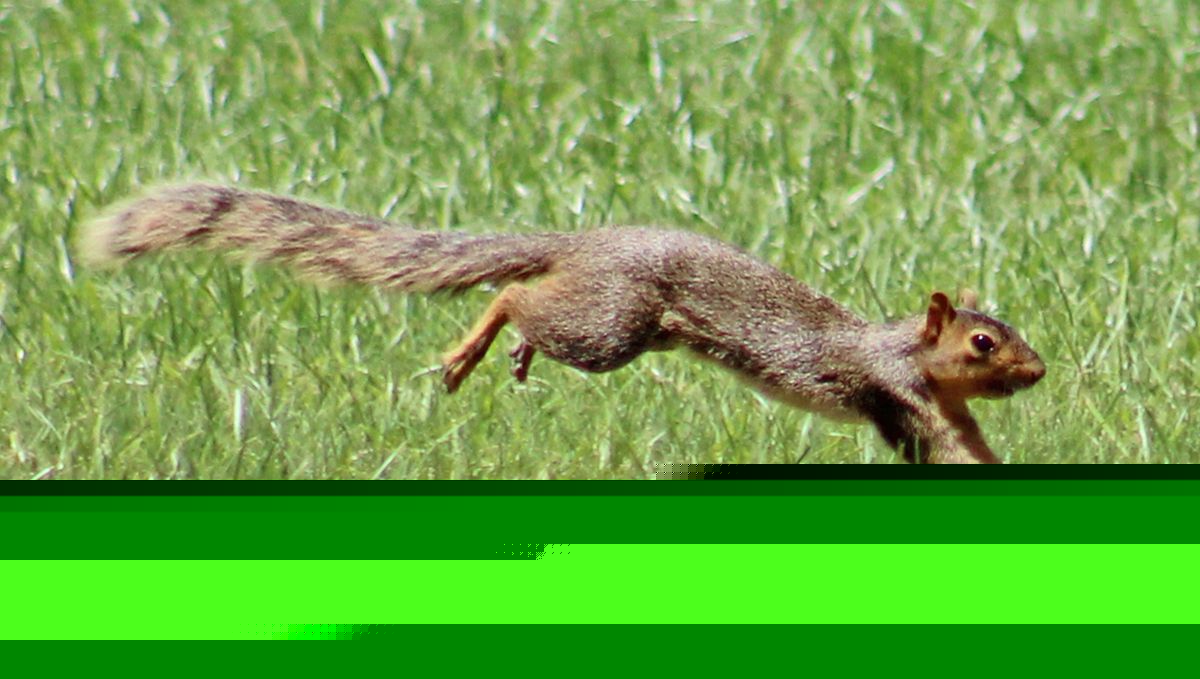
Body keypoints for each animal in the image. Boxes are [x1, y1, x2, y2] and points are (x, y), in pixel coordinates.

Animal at [80, 183, 1045, 464]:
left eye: (1010, 335)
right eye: (982, 342)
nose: (1038, 371)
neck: (903, 346)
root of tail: (587, 240)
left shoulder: (936, 404)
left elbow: (968, 443)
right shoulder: (898, 391)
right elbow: (946, 448)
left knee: (531, 301)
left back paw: (505, 352)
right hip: (614, 325)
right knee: (517, 295)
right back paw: (477, 344)